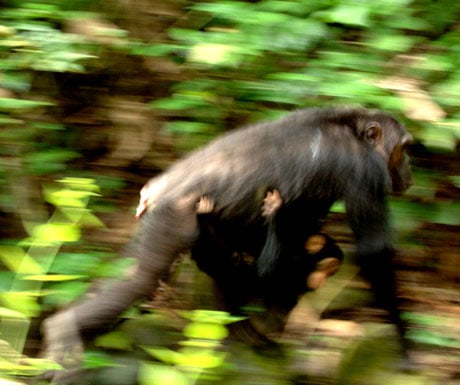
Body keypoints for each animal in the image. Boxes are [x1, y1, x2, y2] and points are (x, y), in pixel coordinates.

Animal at [41, 106, 412, 370]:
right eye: (403, 149)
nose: (409, 167)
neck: (354, 133)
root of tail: (155, 191)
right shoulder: (364, 171)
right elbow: (373, 251)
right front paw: (405, 344)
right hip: (172, 219)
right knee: (139, 278)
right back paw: (63, 331)